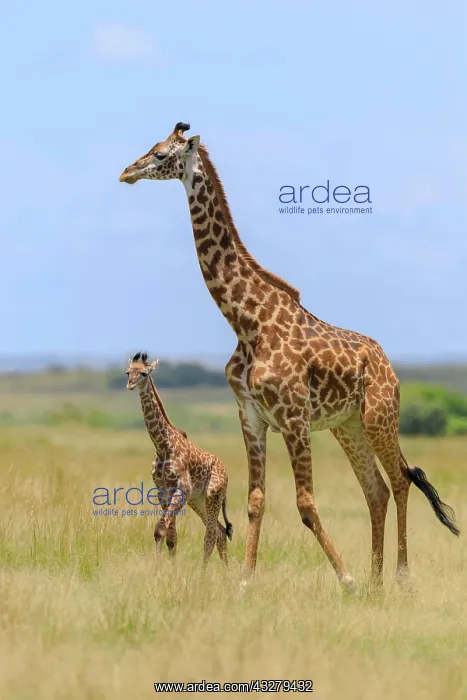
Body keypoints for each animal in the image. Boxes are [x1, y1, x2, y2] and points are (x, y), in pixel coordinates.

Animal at [126, 352, 233, 570]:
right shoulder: (162, 491)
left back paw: (203, 574)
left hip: (213, 495)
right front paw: (169, 570)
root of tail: (226, 473)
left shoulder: (182, 489)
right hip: (197, 500)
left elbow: (160, 529)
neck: (162, 446)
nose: (130, 384)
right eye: (127, 372)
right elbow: (171, 536)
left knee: (211, 534)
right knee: (219, 532)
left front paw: (158, 569)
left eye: (144, 373)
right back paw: (226, 572)